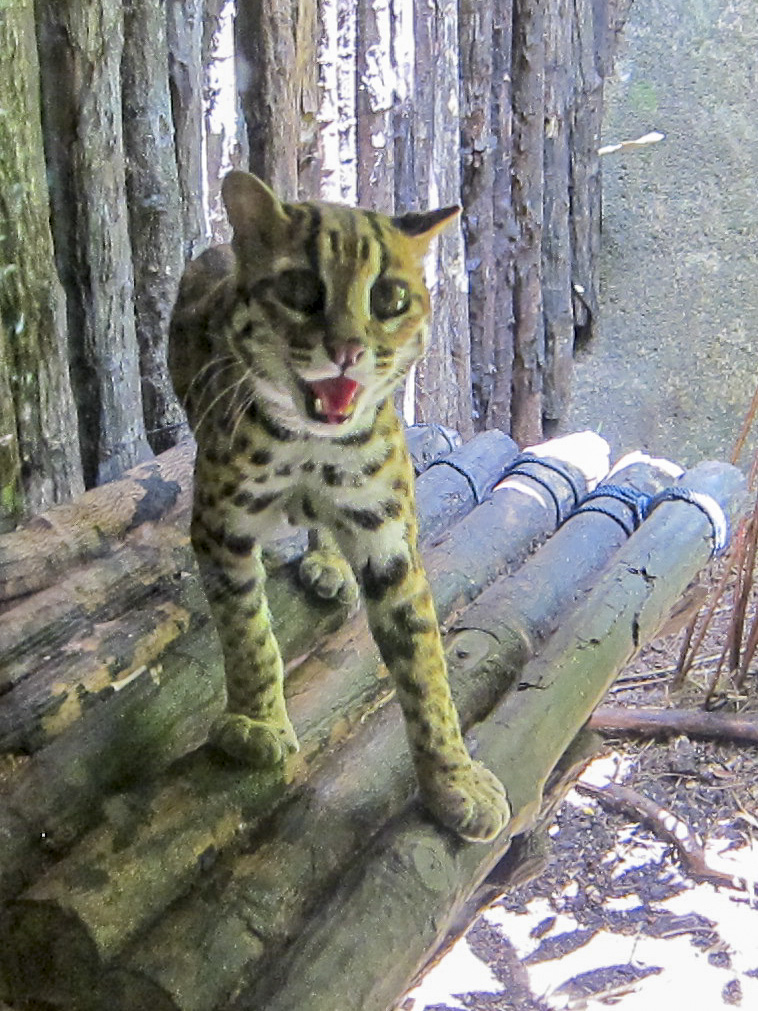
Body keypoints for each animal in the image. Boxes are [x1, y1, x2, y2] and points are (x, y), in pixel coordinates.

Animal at [168, 170, 510, 842]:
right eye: (300, 289)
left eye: (390, 298)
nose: (348, 351)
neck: (311, 446)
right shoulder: (219, 526)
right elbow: (246, 632)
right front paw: (256, 723)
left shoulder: (389, 538)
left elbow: (426, 669)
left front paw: (455, 781)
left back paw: (326, 560)